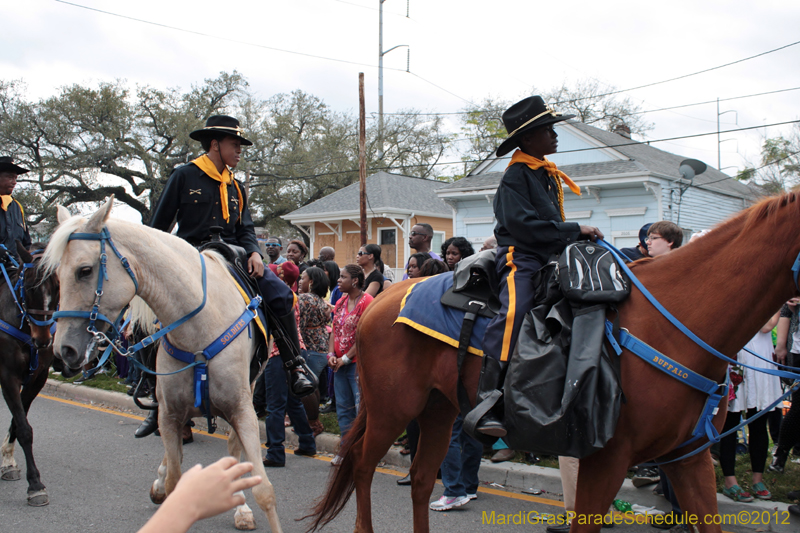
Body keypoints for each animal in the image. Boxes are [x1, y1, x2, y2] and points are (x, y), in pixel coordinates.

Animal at [44, 197, 282, 528]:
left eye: (85, 270)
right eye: (56, 275)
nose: (63, 350)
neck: (198, 326)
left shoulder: (242, 410)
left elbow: (264, 490)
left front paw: (245, 506)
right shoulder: (169, 414)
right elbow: (174, 482)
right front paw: (164, 484)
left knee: (233, 449)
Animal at [308, 192, 800, 532]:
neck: (672, 322)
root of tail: (378, 302)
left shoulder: (687, 457)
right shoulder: (608, 457)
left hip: (437, 409)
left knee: (423, 478)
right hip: (393, 408)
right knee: (364, 467)